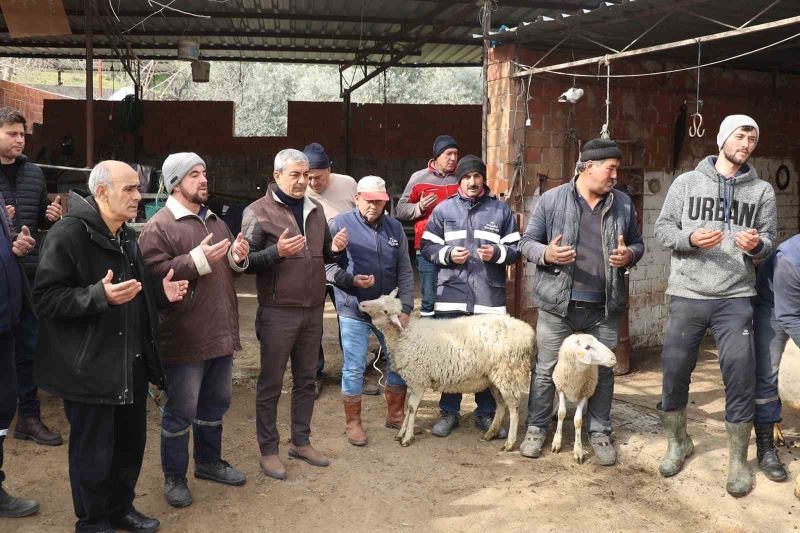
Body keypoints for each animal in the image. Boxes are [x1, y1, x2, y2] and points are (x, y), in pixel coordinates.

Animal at [358, 288, 536, 450]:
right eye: (380, 297)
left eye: (385, 311)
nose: (362, 304)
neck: (405, 333)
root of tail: (528, 331)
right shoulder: (413, 380)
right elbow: (408, 408)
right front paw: (401, 433)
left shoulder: (418, 379)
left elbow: (412, 408)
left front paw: (407, 437)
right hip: (493, 378)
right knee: (501, 404)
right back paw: (490, 433)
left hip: (508, 373)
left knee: (513, 407)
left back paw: (509, 443)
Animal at [552, 334, 616, 464]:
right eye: (587, 347)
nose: (613, 358)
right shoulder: (561, 388)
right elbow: (562, 413)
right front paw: (557, 441)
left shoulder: (585, 392)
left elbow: (578, 420)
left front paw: (578, 450)